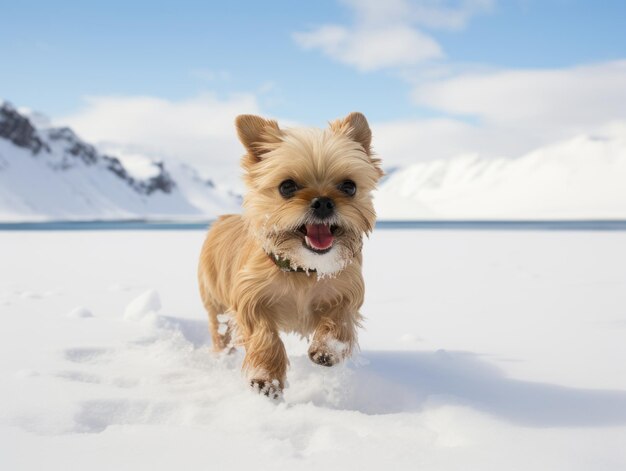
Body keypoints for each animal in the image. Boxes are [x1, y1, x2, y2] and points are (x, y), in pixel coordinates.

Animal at [197, 113, 380, 398]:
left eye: (349, 187)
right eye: (287, 187)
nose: (323, 202)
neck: (303, 268)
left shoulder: (347, 292)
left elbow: (340, 320)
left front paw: (327, 349)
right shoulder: (250, 300)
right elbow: (265, 336)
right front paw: (265, 378)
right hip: (215, 304)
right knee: (220, 333)